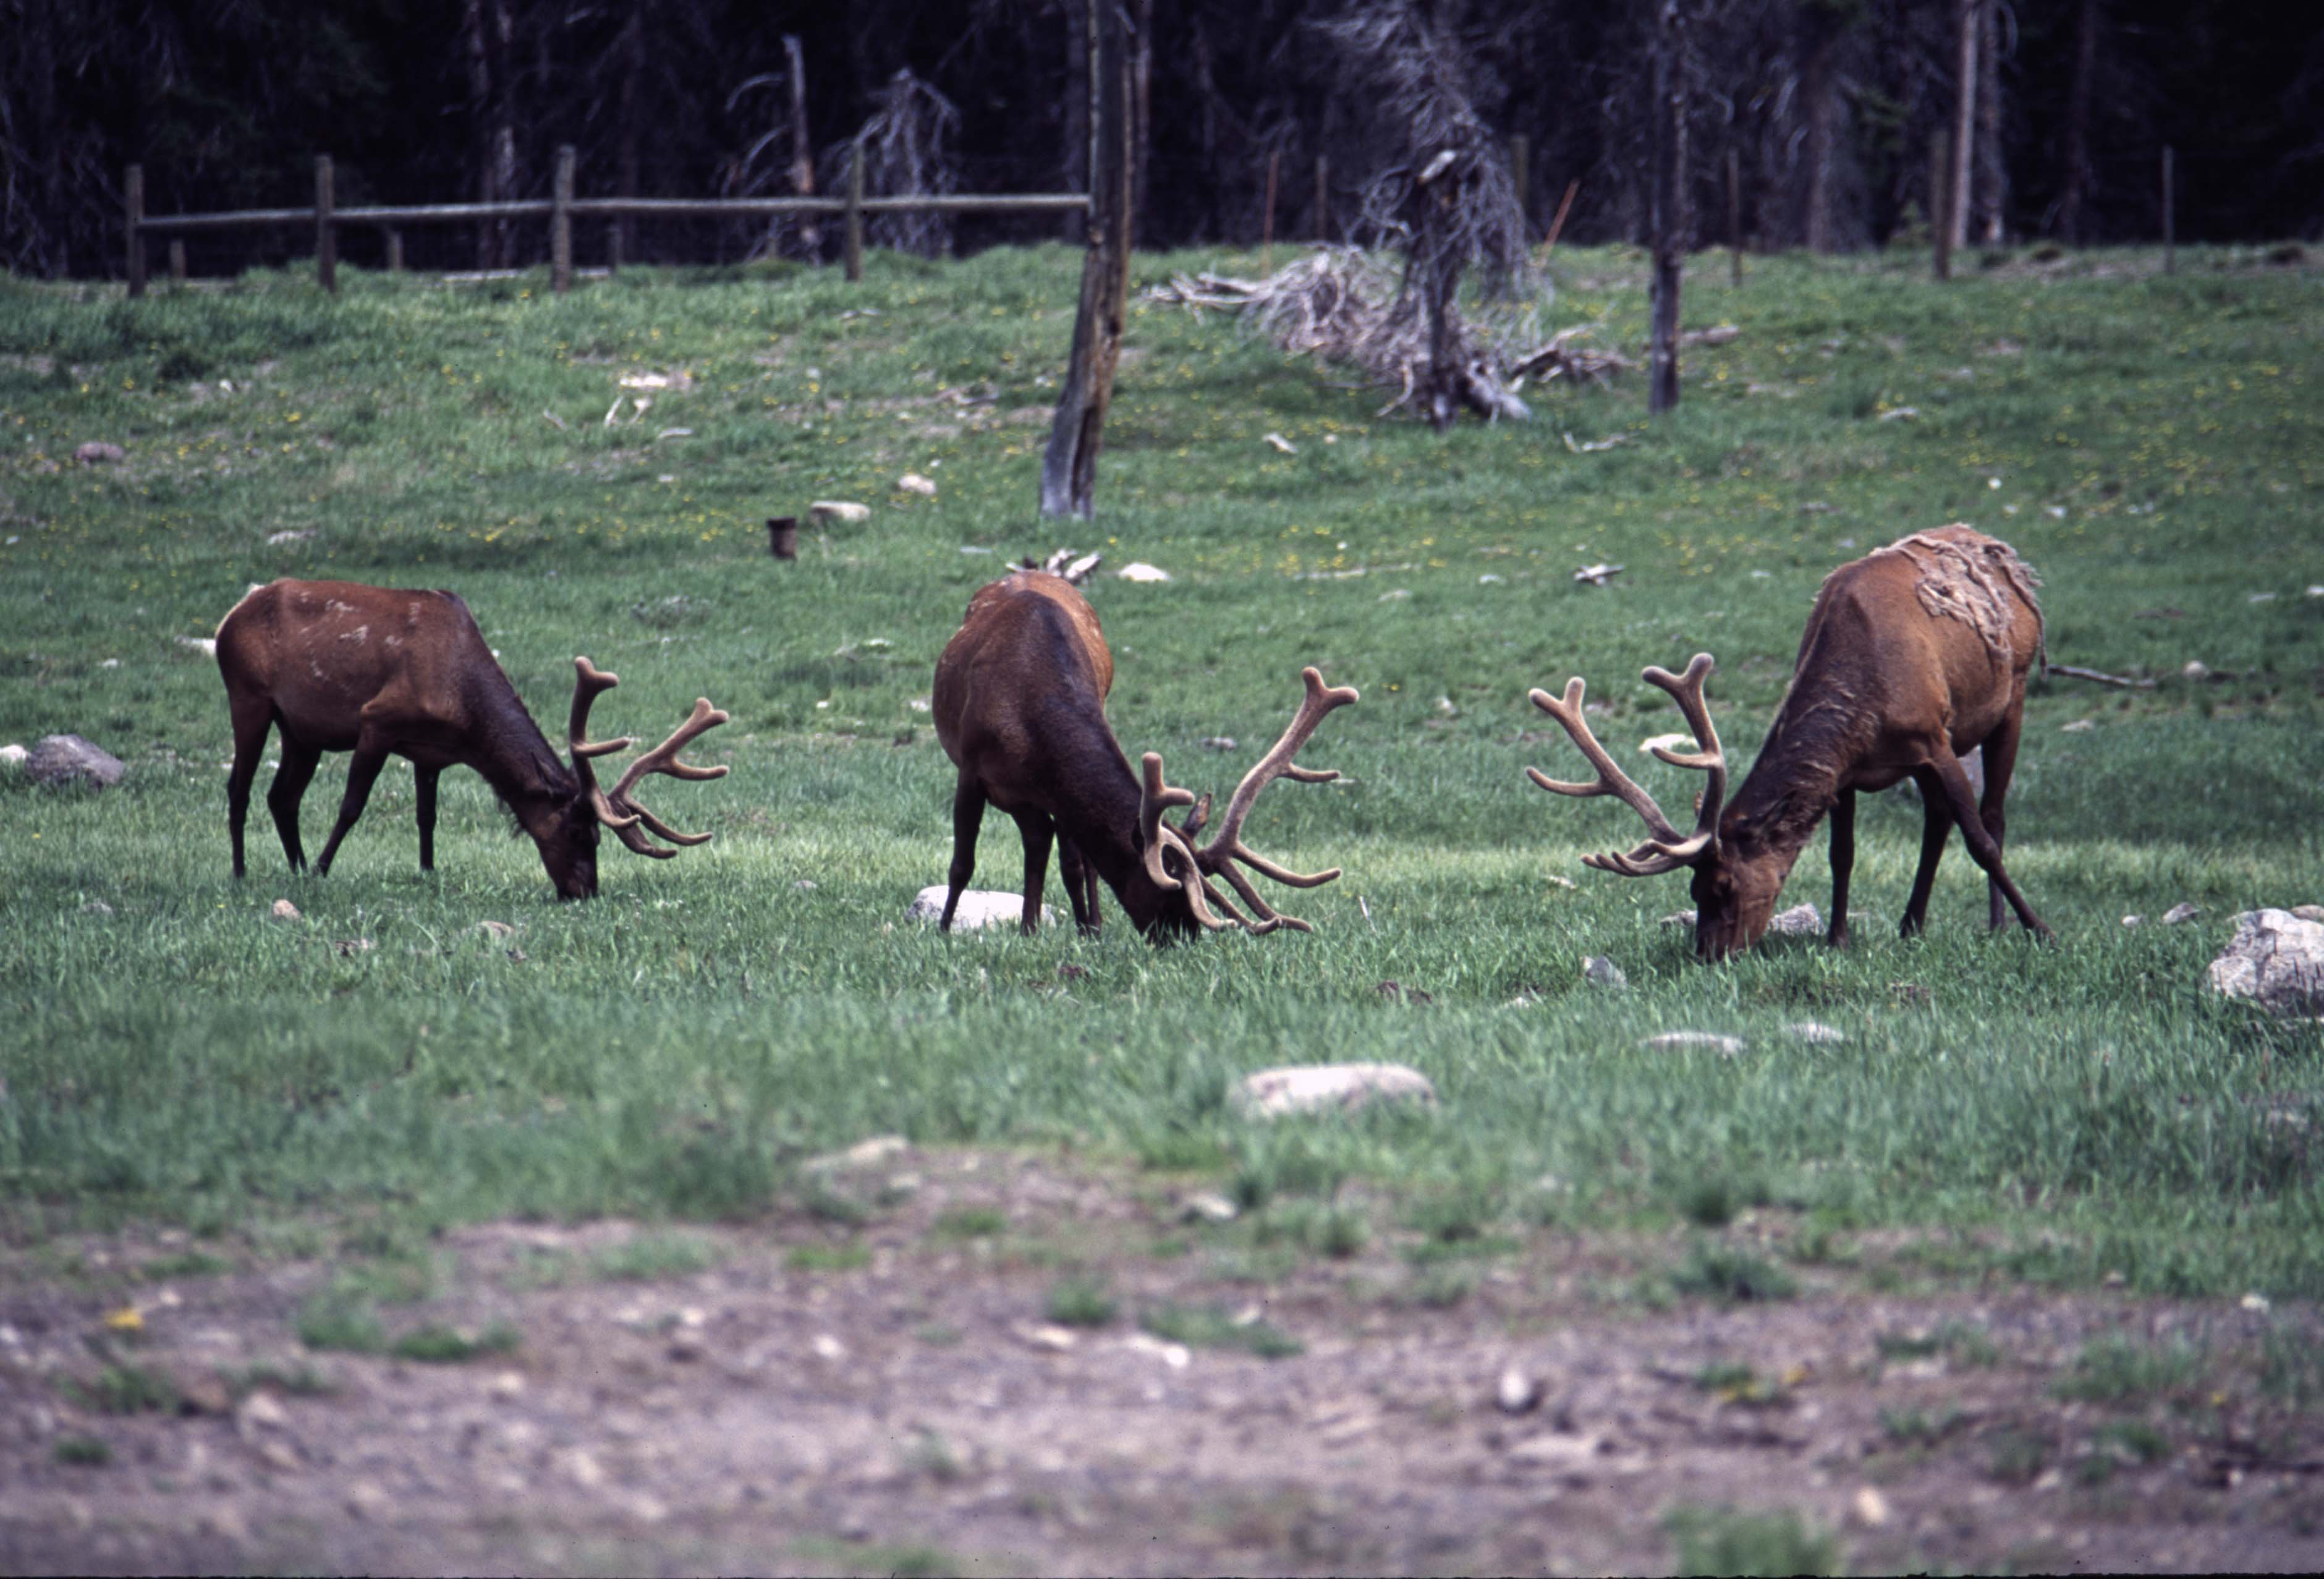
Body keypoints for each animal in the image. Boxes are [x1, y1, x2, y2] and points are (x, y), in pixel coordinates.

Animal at [215, 578, 729, 899]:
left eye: (600, 837)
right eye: (577, 831)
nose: (586, 892)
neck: (464, 715)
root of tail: (228, 619)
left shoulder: (429, 754)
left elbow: (427, 817)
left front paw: (427, 871)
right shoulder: (378, 720)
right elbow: (352, 806)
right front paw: (324, 870)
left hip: (302, 730)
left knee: (282, 797)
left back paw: (294, 867)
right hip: (248, 695)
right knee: (239, 788)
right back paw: (241, 872)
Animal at [932, 569, 1359, 938]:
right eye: (1169, 890)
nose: (1185, 939)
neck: (1024, 716)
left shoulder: (1049, 790)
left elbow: (1074, 860)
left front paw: (1079, 929)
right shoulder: (970, 769)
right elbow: (962, 864)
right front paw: (944, 931)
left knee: (1061, 852)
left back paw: (1080, 928)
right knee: (1041, 845)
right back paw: (1036, 927)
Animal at [1524, 526, 2052, 961]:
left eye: (1724, 885)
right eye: (1693, 892)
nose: (1707, 955)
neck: (1867, 690)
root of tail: (2001, 551)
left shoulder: (1933, 739)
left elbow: (1981, 843)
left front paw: (2040, 929)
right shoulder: (1849, 771)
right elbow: (1842, 856)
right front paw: (1837, 940)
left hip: (2013, 695)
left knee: (1992, 816)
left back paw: (1998, 925)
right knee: (1938, 819)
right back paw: (1910, 926)